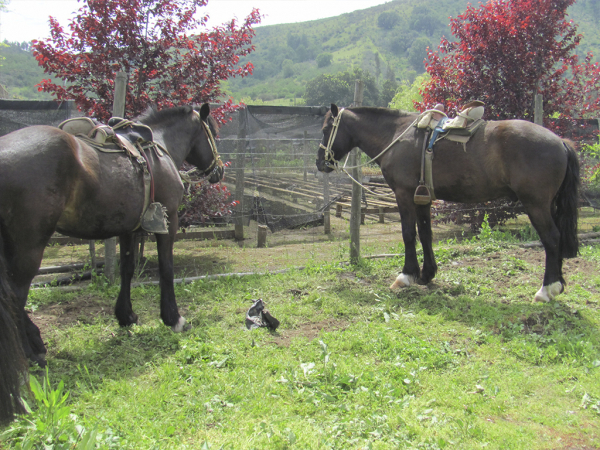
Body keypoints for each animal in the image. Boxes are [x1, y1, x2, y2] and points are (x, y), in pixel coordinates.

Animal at [0, 103, 224, 374]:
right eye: (212, 132)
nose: (219, 170)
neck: (160, 147)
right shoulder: (168, 220)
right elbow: (166, 268)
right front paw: (174, 318)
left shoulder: (129, 228)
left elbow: (127, 268)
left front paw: (126, 316)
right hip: (29, 244)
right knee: (16, 295)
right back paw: (30, 354)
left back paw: (35, 342)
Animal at [316, 106, 580, 302]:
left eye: (326, 128)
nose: (320, 162)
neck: (396, 135)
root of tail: (559, 141)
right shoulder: (422, 198)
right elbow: (425, 234)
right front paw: (426, 274)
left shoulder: (404, 195)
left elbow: (408, 234)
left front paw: (406, 275)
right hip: (548, 205)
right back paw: (558, 284)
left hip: (536, 205)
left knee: (552, 239)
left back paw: (547, 289)